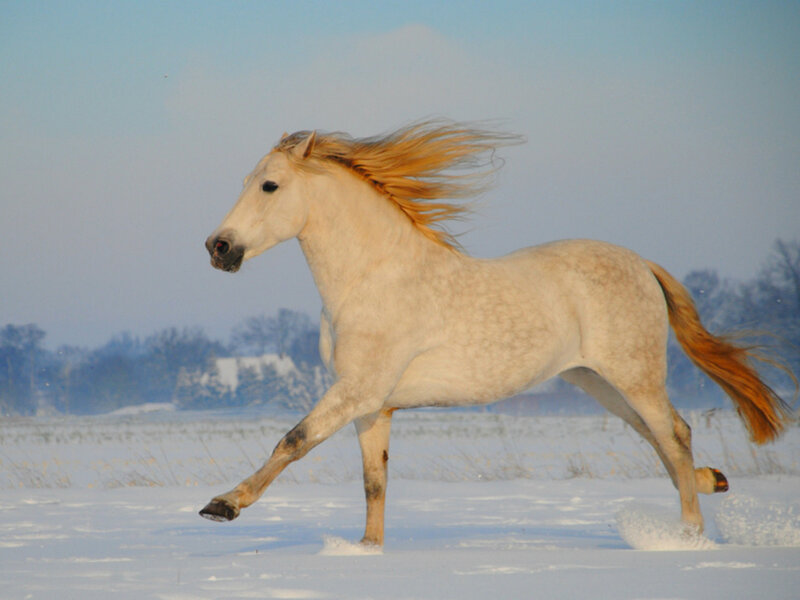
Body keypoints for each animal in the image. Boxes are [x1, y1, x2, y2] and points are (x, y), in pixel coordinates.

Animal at [201, 120, 793, 546]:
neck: (371, 278)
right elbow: (374, 482)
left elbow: (294, 440)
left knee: (672, 435)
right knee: (664, 438)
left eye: (269, 185)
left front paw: (222, 505)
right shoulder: (373, 405)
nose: (218, 247)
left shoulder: (357, 390)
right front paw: (368, 551)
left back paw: (690, 536)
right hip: (598, 382)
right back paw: (711, 482)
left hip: (635, 374)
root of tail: (643, 264)